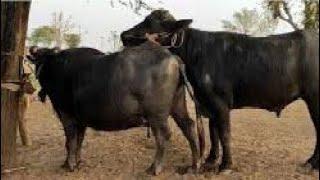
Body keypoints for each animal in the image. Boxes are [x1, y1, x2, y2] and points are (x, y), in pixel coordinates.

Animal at [28, 43, 202, 175]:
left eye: (40, 59)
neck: (58, 68)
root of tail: (173, 58)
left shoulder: (66, 115)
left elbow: (69, 141)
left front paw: (69, 165)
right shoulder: (81, 120)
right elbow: (79, 141)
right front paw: (77, 162)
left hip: (156, 116)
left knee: (163, 136)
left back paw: (154, 168)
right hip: (177, 105)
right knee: (188, 126)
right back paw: (195, 165)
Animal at [121, 9, 318, 172]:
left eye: (150, 22)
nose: (124, 35)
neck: (197, 53)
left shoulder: (220, 104)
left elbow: (224, 133)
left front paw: (225, 165)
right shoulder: (207, 103)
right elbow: (212, 132)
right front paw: (210, 160)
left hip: (314, 99)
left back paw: (311, 163)